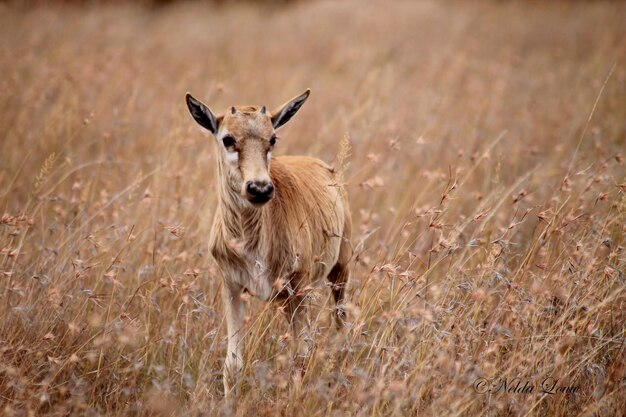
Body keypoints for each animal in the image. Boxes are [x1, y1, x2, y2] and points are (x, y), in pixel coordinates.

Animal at [184, 89, 352, 394]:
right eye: (227, 139)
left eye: (272, 138)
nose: (260, 189)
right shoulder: (233, 287)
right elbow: (232, 365)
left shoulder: (298, 289)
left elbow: (301, 357)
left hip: (338, 273)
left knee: (340, 326)